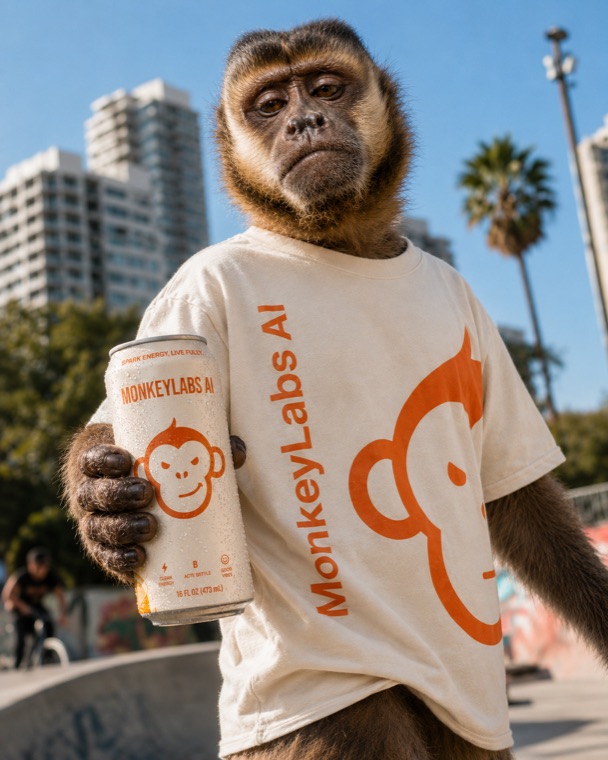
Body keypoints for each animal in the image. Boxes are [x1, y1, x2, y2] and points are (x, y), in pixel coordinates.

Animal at [61, 18, 608, 760]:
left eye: (324, 89)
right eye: (269, 105)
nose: (303, 121)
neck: (339, 245)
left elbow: (516, 499)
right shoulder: (189, 294)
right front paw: (105, 500)